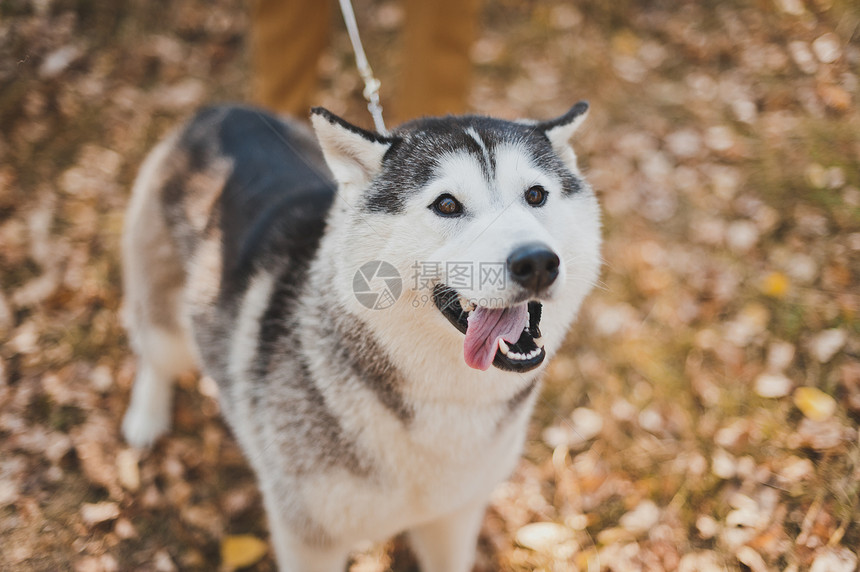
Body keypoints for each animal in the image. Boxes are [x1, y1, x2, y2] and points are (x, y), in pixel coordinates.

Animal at [121, 104, 600, 572]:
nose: (536, 262)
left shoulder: (454, 517)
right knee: (153, 355)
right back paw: (146, 418)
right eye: (447, 204)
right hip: (170, 329)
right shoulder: (309, 536)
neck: (447, 400)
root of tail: (217, 111)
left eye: (535, 195)